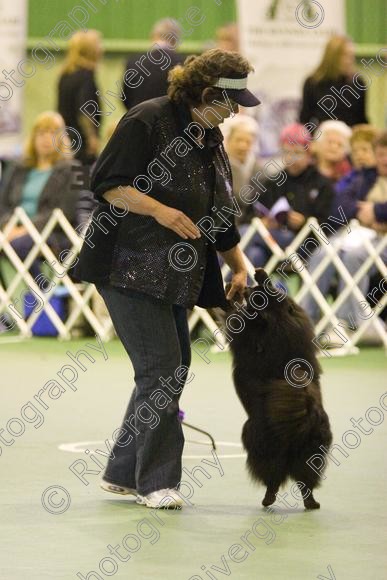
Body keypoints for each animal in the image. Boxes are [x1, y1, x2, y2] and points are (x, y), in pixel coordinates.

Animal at [224, 268, 334, 508]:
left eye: (252, 294)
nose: (246, 288)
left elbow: (234, 316)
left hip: (256, 439)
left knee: (273, 478)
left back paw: (268, 499)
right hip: (310, 453)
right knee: (305, 481)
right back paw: (311, 503)